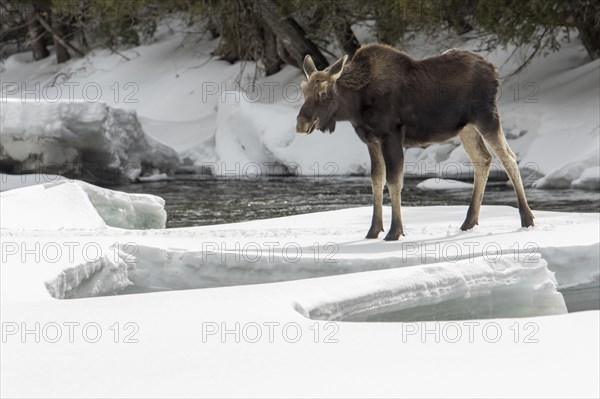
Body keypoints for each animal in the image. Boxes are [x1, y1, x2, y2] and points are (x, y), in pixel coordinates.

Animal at [296, 45, 536, 242]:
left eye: (323, 92)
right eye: (303, 90)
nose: (301, 123)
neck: (355, 107)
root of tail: (494, 71)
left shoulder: (392, 135)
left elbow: (394, 181)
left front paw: (395, 231)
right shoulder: (371, 140)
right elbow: (376, 180)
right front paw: (373, 230)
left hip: (486, 117)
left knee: (508, 157)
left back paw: (527, 218)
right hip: (466, 127)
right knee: (483, 159)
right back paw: (469, 222)